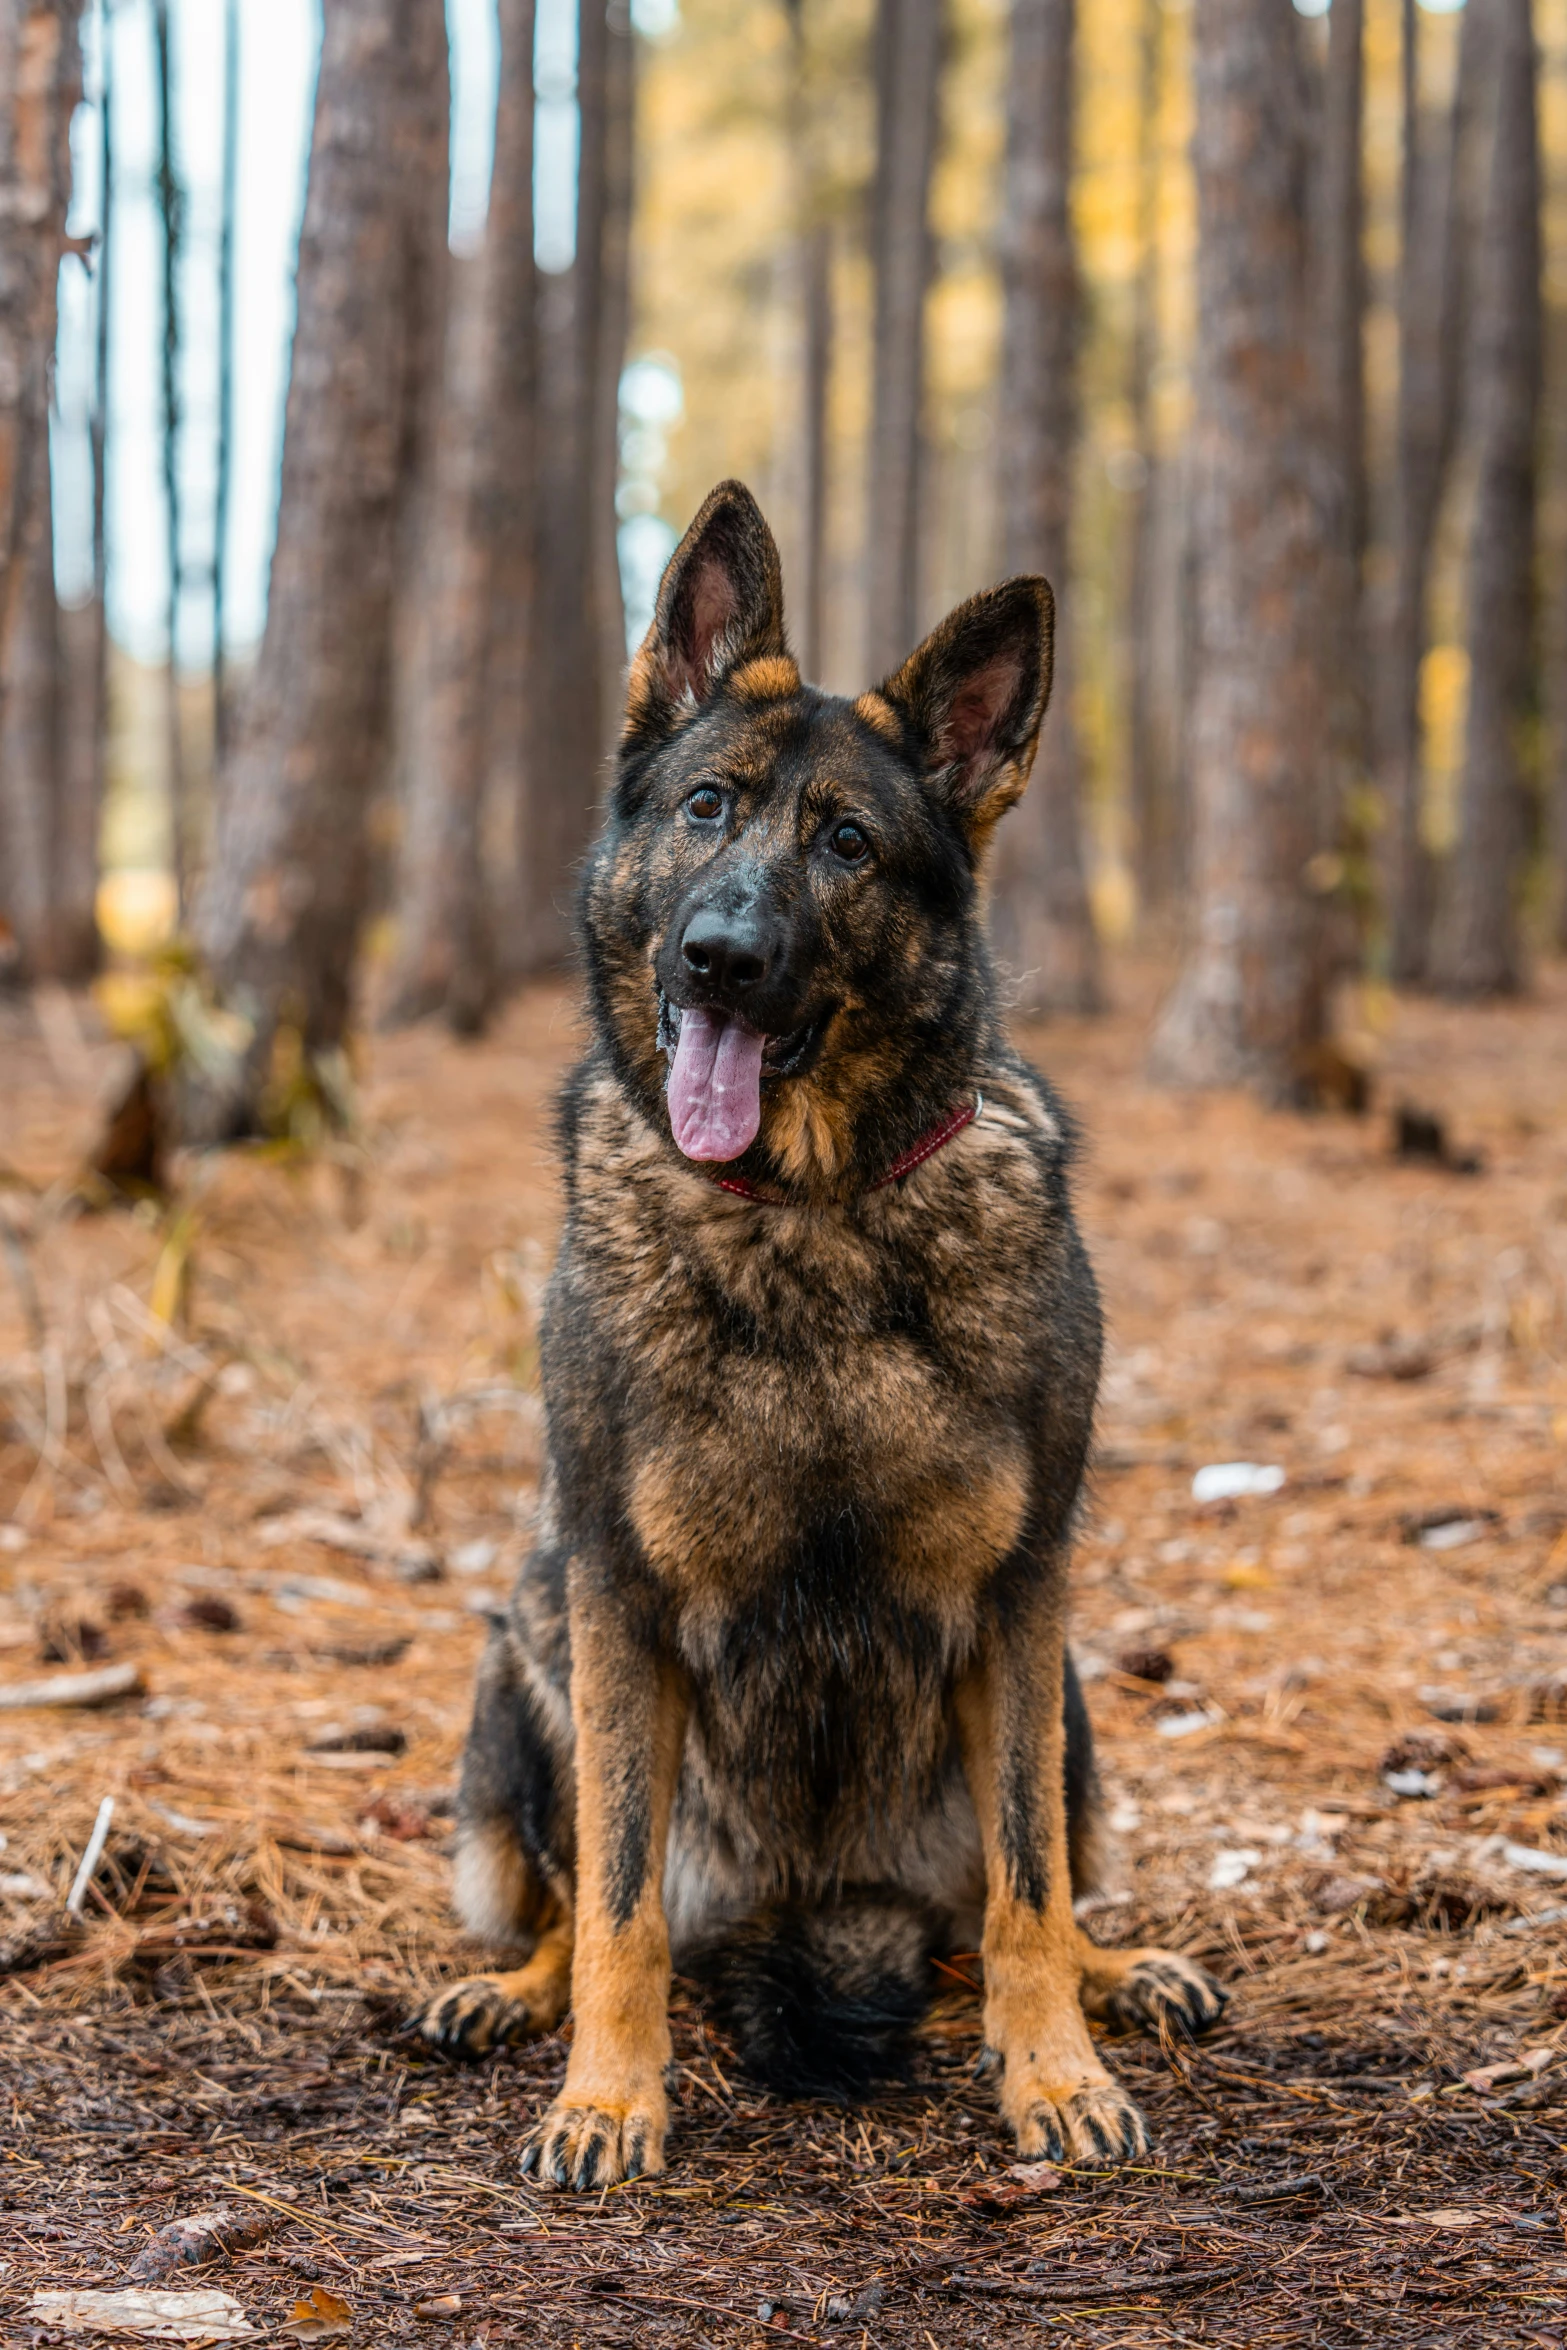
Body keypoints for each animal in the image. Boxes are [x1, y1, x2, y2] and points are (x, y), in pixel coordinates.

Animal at [415, 477, 1221, 2180]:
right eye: (705, 809)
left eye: (847, 841)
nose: (717, 954)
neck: (808, 1218)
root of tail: (819, 1910)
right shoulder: (616, 1591)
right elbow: (622, 1903)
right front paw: (607, 2092)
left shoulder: (1019, 1590)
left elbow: (1029, 1879)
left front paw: (1052, 2070)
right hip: (524, 1656)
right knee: (574, 1898)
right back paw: (509, 1993)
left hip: (1060, 1686)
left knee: (1007, 1900)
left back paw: (1116, 1970)